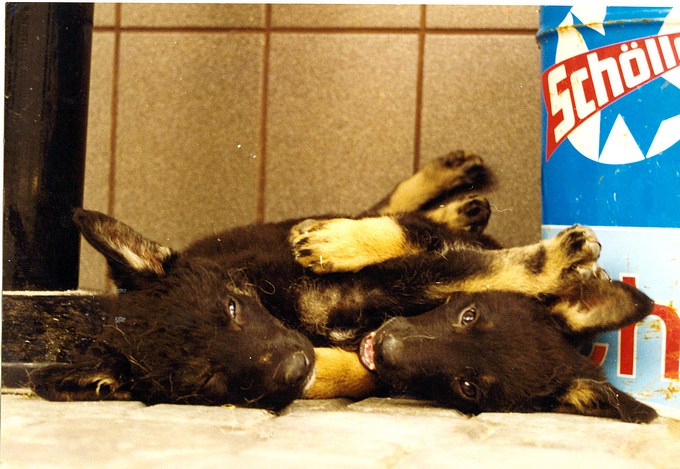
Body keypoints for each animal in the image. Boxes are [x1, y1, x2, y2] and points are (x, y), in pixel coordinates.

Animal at [29, 152, 657, 422]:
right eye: (203, 383)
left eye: (232, 308)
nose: (293, 366)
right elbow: (367, 358)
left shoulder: (385, 286)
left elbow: (456, 267)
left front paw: (555, 261)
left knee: (389, 218)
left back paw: (450, 193)